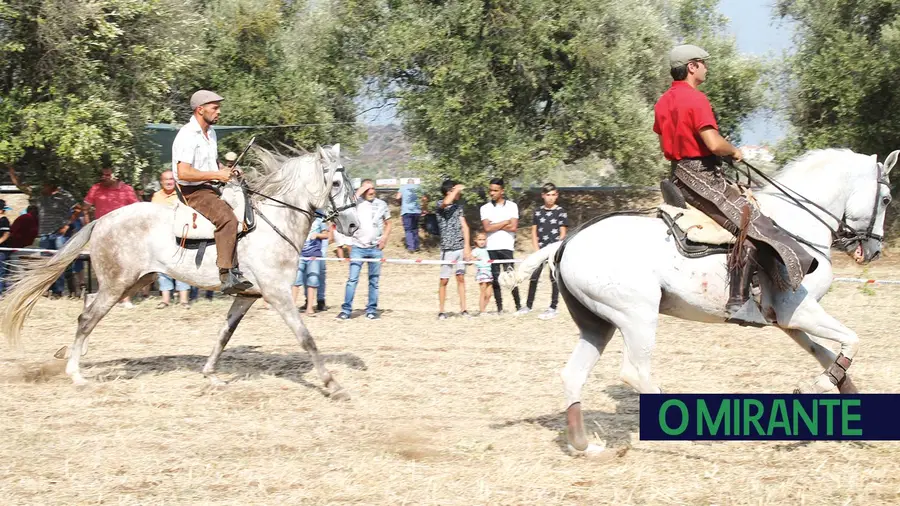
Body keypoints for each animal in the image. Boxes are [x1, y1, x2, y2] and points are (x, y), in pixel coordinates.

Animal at [0, 143, 358, 400]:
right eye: (335, 182)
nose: (354, 226)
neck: (275, 222)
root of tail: (101, 219)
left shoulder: (247, 296)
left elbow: (224, 334)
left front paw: (211, 374)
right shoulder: (277, 294)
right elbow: (306, 338)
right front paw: (332, 384)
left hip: (131, 283)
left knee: (88, 307)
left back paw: (71, 355)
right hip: (118, 283)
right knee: (87, 317)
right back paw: (75, 373)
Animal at [502, 148, 896, 456]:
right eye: (887, 199)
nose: (873, 251)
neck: (798, 224)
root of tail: (565, 243)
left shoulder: (788, 320)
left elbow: (830, 354)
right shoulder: (799, 311)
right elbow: (852, 341)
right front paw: (820, 385)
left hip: (598, 325)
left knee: (574, 374)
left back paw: (585, 445)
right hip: (637, 316)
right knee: (636, 372)